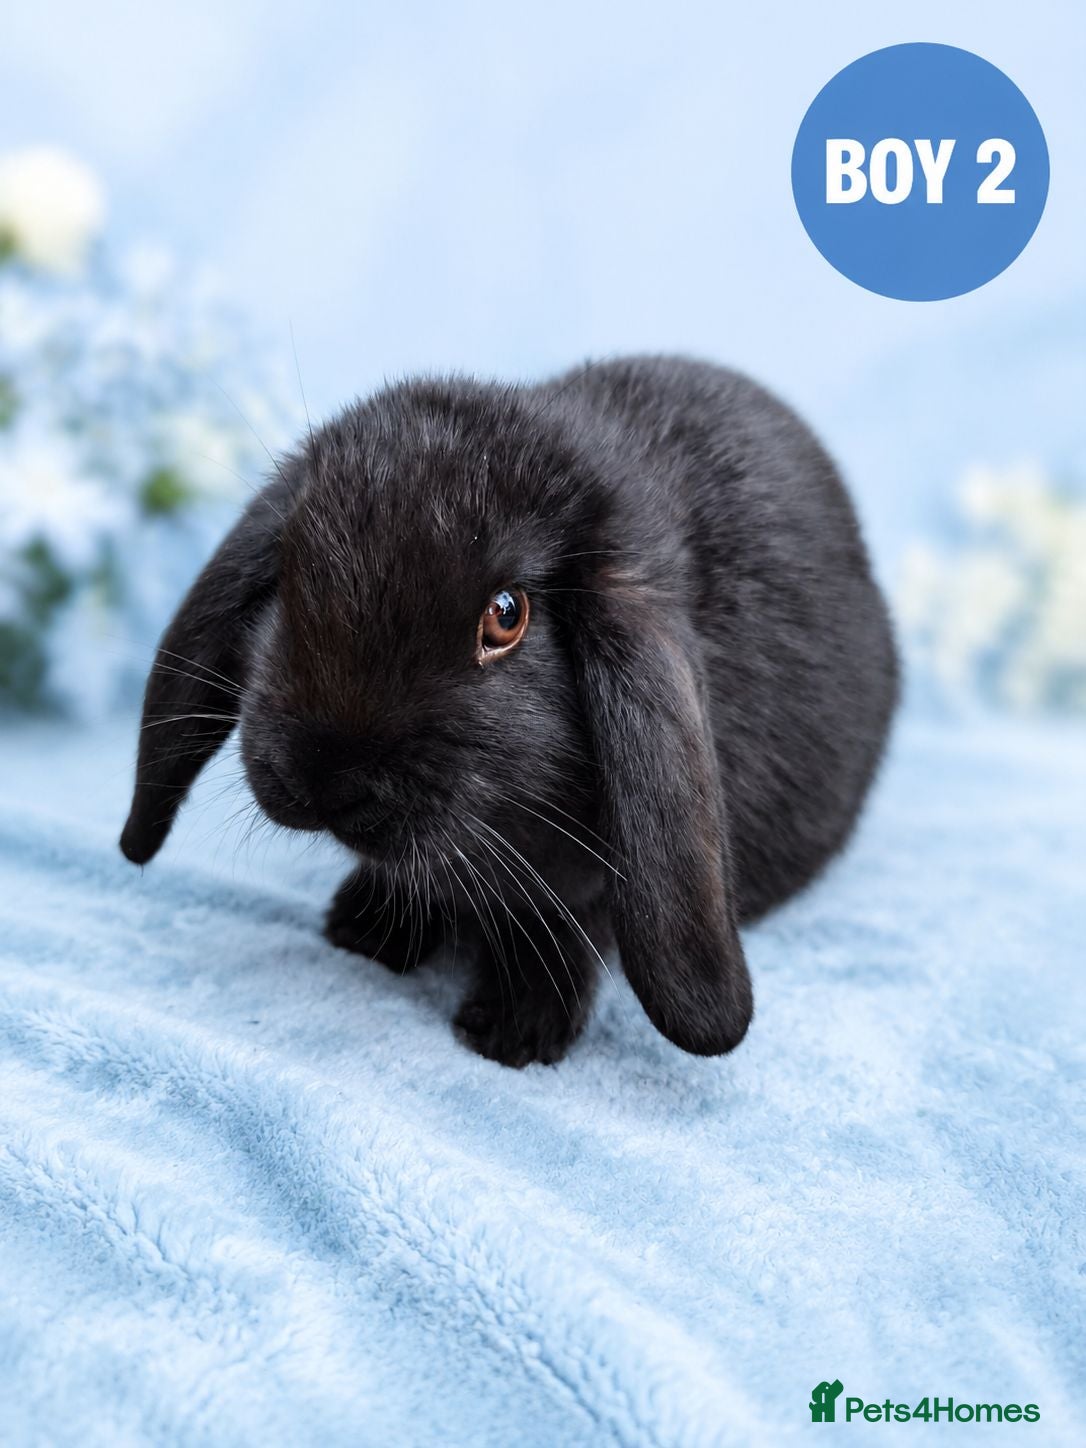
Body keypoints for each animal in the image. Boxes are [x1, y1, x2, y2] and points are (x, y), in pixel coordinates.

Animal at [120, 355, 898, 1067]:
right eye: (289, 575)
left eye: (506, 616)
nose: (325, 779)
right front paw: (366, 932)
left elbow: (560, 927)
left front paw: (514, 1032)